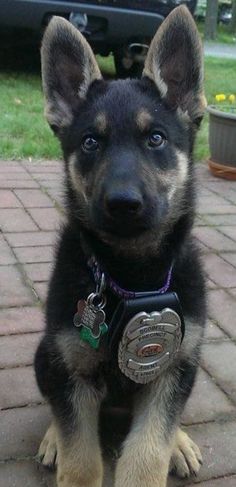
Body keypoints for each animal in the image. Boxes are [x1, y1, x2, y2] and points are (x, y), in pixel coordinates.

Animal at [35, 5, 206, 486]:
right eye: (91, 142)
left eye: (156, 139)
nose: (123, 204)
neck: (134, 275)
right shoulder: (70, 370)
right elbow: (79, 455)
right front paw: (66, 450)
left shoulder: (172, 367)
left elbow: (148, 451)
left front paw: (167, 447)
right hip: (45, 354)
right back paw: (51, 438)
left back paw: (180, 443)